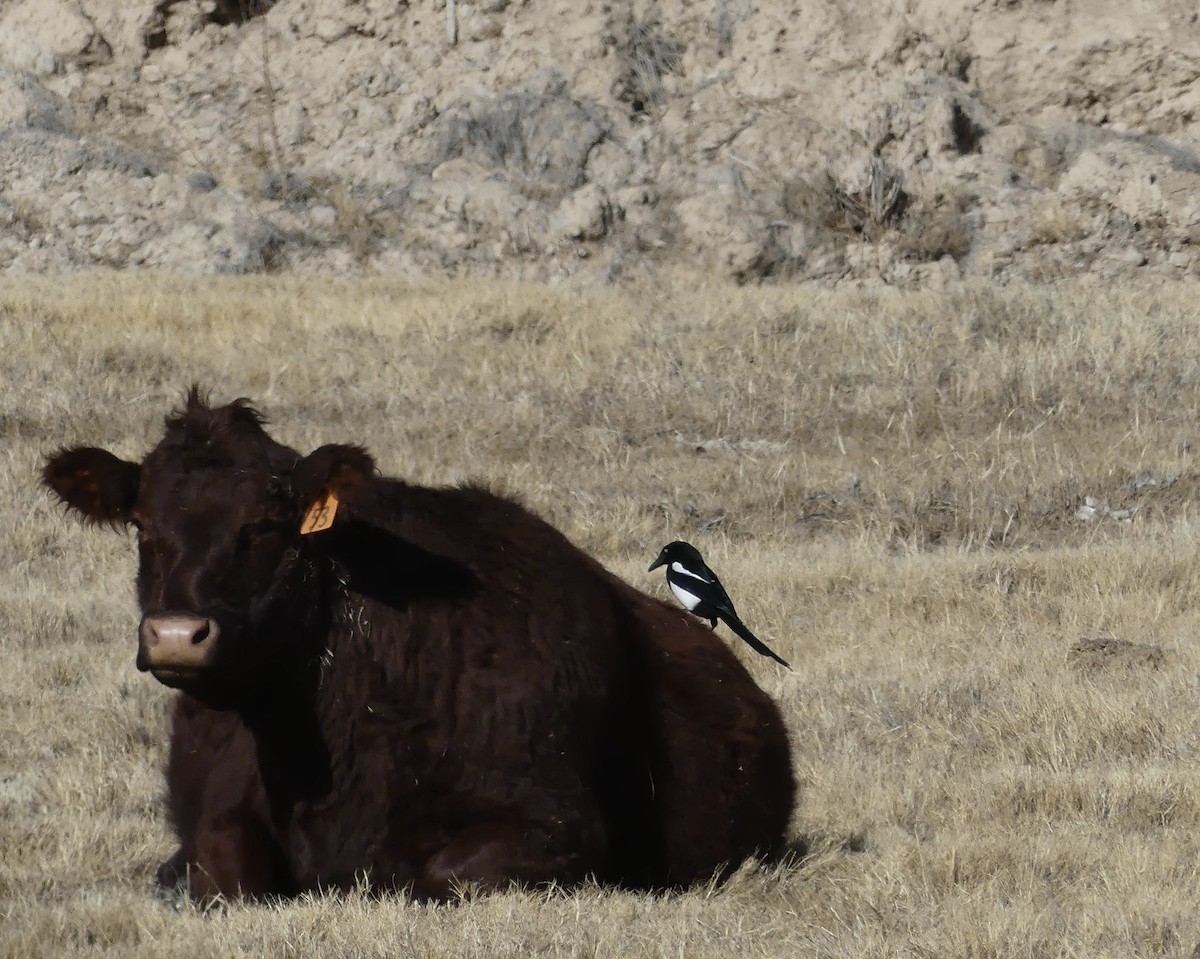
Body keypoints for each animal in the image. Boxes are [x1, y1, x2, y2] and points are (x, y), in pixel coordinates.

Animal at [42, 388, 796, 902]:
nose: (177, 634)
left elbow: (441, 872)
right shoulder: (221, 810)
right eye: (142, 526)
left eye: (266, 525)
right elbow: (219, 869)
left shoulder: (562, 824)